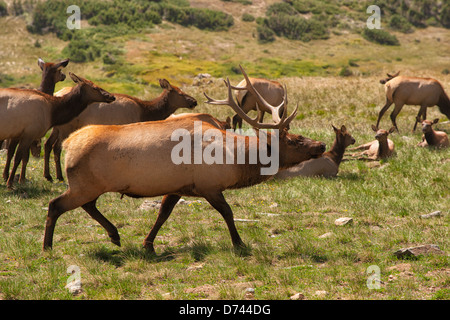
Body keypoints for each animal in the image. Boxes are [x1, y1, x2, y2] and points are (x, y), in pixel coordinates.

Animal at [44, 78, 197, 181]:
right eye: (180, 93)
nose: (194, 101)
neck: (145, 112)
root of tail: (56, 95)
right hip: (66, 127)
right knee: (56, 147)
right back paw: (59, 176)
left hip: (56, 128)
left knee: (47, 144)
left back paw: (49, 176)